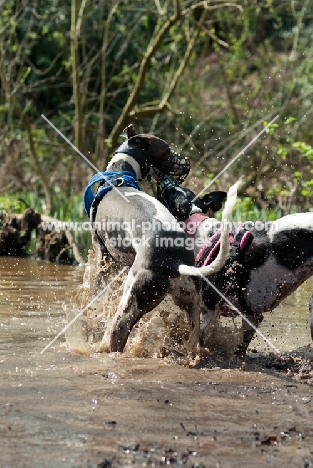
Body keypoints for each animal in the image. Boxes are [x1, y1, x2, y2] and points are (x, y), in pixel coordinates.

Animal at [83, 128, 236, 352]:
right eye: (167, 151)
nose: (186, 164)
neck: (120, 177)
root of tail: (174, 261)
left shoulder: (104, 257)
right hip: (192, 304)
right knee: (195, 337)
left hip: (133, 296)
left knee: (117, 332)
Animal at [157, 175, 312, 354]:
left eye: (169, 193)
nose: (165, 178)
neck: (202, 231)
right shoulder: (251, 316)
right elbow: (240, 347)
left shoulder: (210, 307)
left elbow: (198, 338)